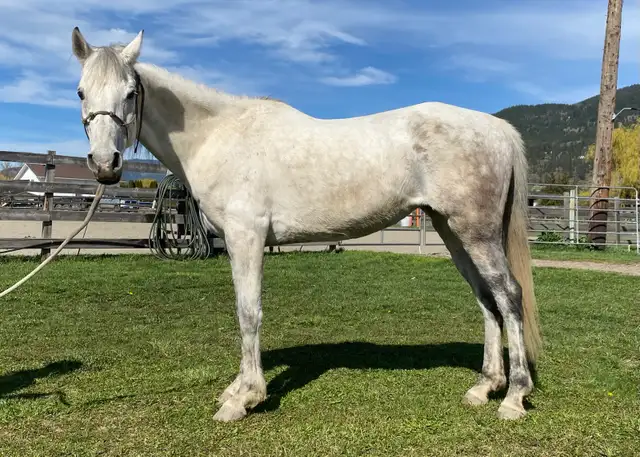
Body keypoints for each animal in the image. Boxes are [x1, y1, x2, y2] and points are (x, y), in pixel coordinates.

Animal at [70, 27, 542, 422]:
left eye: (131, 93)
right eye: (80, 92)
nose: (105, 165)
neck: (219, 135)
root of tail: (497, 127)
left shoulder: (246, 237)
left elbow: (248, 312)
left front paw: (244, 398)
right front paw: (236, 390)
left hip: (475, 232)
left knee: (508, 295)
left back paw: (514, 397)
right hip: (452, 230)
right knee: (486, 299)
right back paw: (484, 388)